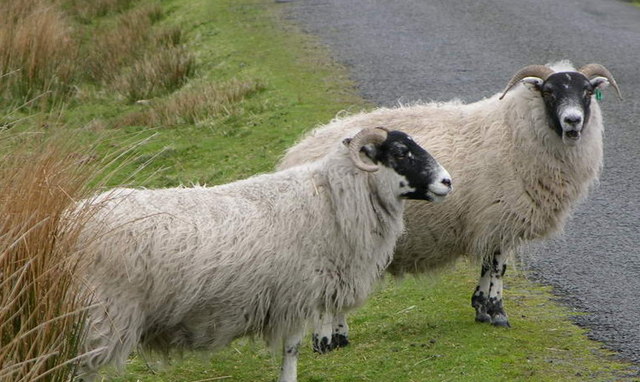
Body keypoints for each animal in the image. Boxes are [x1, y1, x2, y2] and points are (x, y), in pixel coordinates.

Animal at [75, 127, 450, 382]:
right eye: (400, 152)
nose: (448, 182)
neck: (331, 199)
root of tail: (71, 219)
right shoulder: (296, 295)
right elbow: (292, 347)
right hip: (103, 312)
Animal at [278, 59, 620, 350]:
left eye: (588, 92)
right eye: (549, 92)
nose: (573, 121)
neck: (514, 131)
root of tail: (296, 154)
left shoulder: (491, 223)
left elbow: (487, 266)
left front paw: (481, 308)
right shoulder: (500, 217)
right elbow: (498, 268)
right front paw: (498, 313)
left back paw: (338, 338)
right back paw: (327, 342)